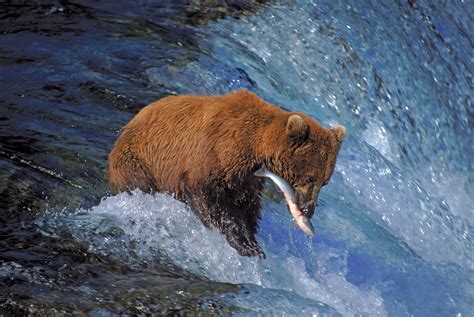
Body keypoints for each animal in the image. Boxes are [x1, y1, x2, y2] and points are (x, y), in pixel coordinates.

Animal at [107, 88, 344, 256]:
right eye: (310, 177)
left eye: (325, 182)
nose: (308, 209)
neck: (255, 147)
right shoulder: (214, 153)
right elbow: (208, 197)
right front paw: (246, 244)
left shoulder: (246, 178)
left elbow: (247, 205)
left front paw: (250, 239)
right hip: (138, 162)